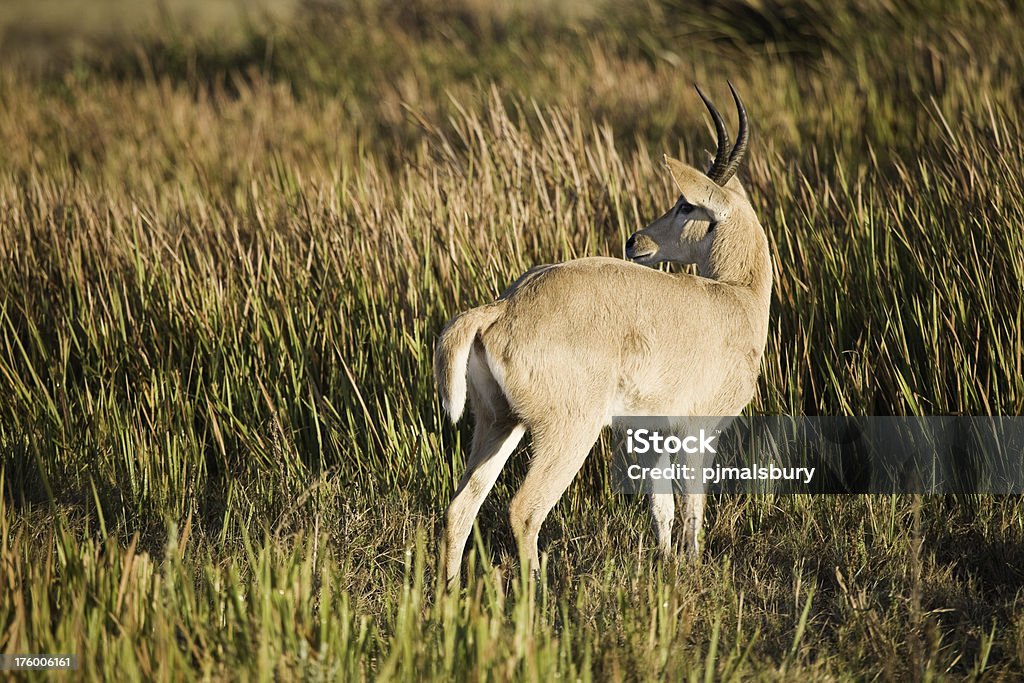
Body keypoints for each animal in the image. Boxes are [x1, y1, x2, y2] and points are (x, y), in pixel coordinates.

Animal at [432, 85, 770, 589]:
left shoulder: (654, 434)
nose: (635, 241)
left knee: (461, 506)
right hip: (569, 431)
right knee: (523, 509)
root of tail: (503, 307)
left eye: (685, 205)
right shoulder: (697, 431)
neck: (736, 297)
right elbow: (692, 505)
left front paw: (668, 566)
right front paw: (691, 568)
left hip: (499, 424)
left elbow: (662, 507)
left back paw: (450, 592)